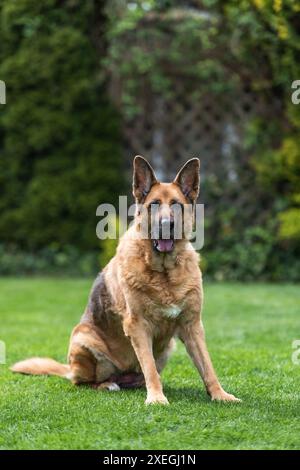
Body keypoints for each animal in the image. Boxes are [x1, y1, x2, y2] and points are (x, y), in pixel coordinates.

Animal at [12, 157, 241, 404]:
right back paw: (107, 385)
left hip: (168, 347)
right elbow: (149, 366)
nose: (166, 224)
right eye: (154, 204)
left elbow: (207, 367)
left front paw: (220, 395)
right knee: (83, 382)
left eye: (177, 205)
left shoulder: (193, 326)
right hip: (84, 339)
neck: (164, 273)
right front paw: (157, 399)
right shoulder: (138, 325)